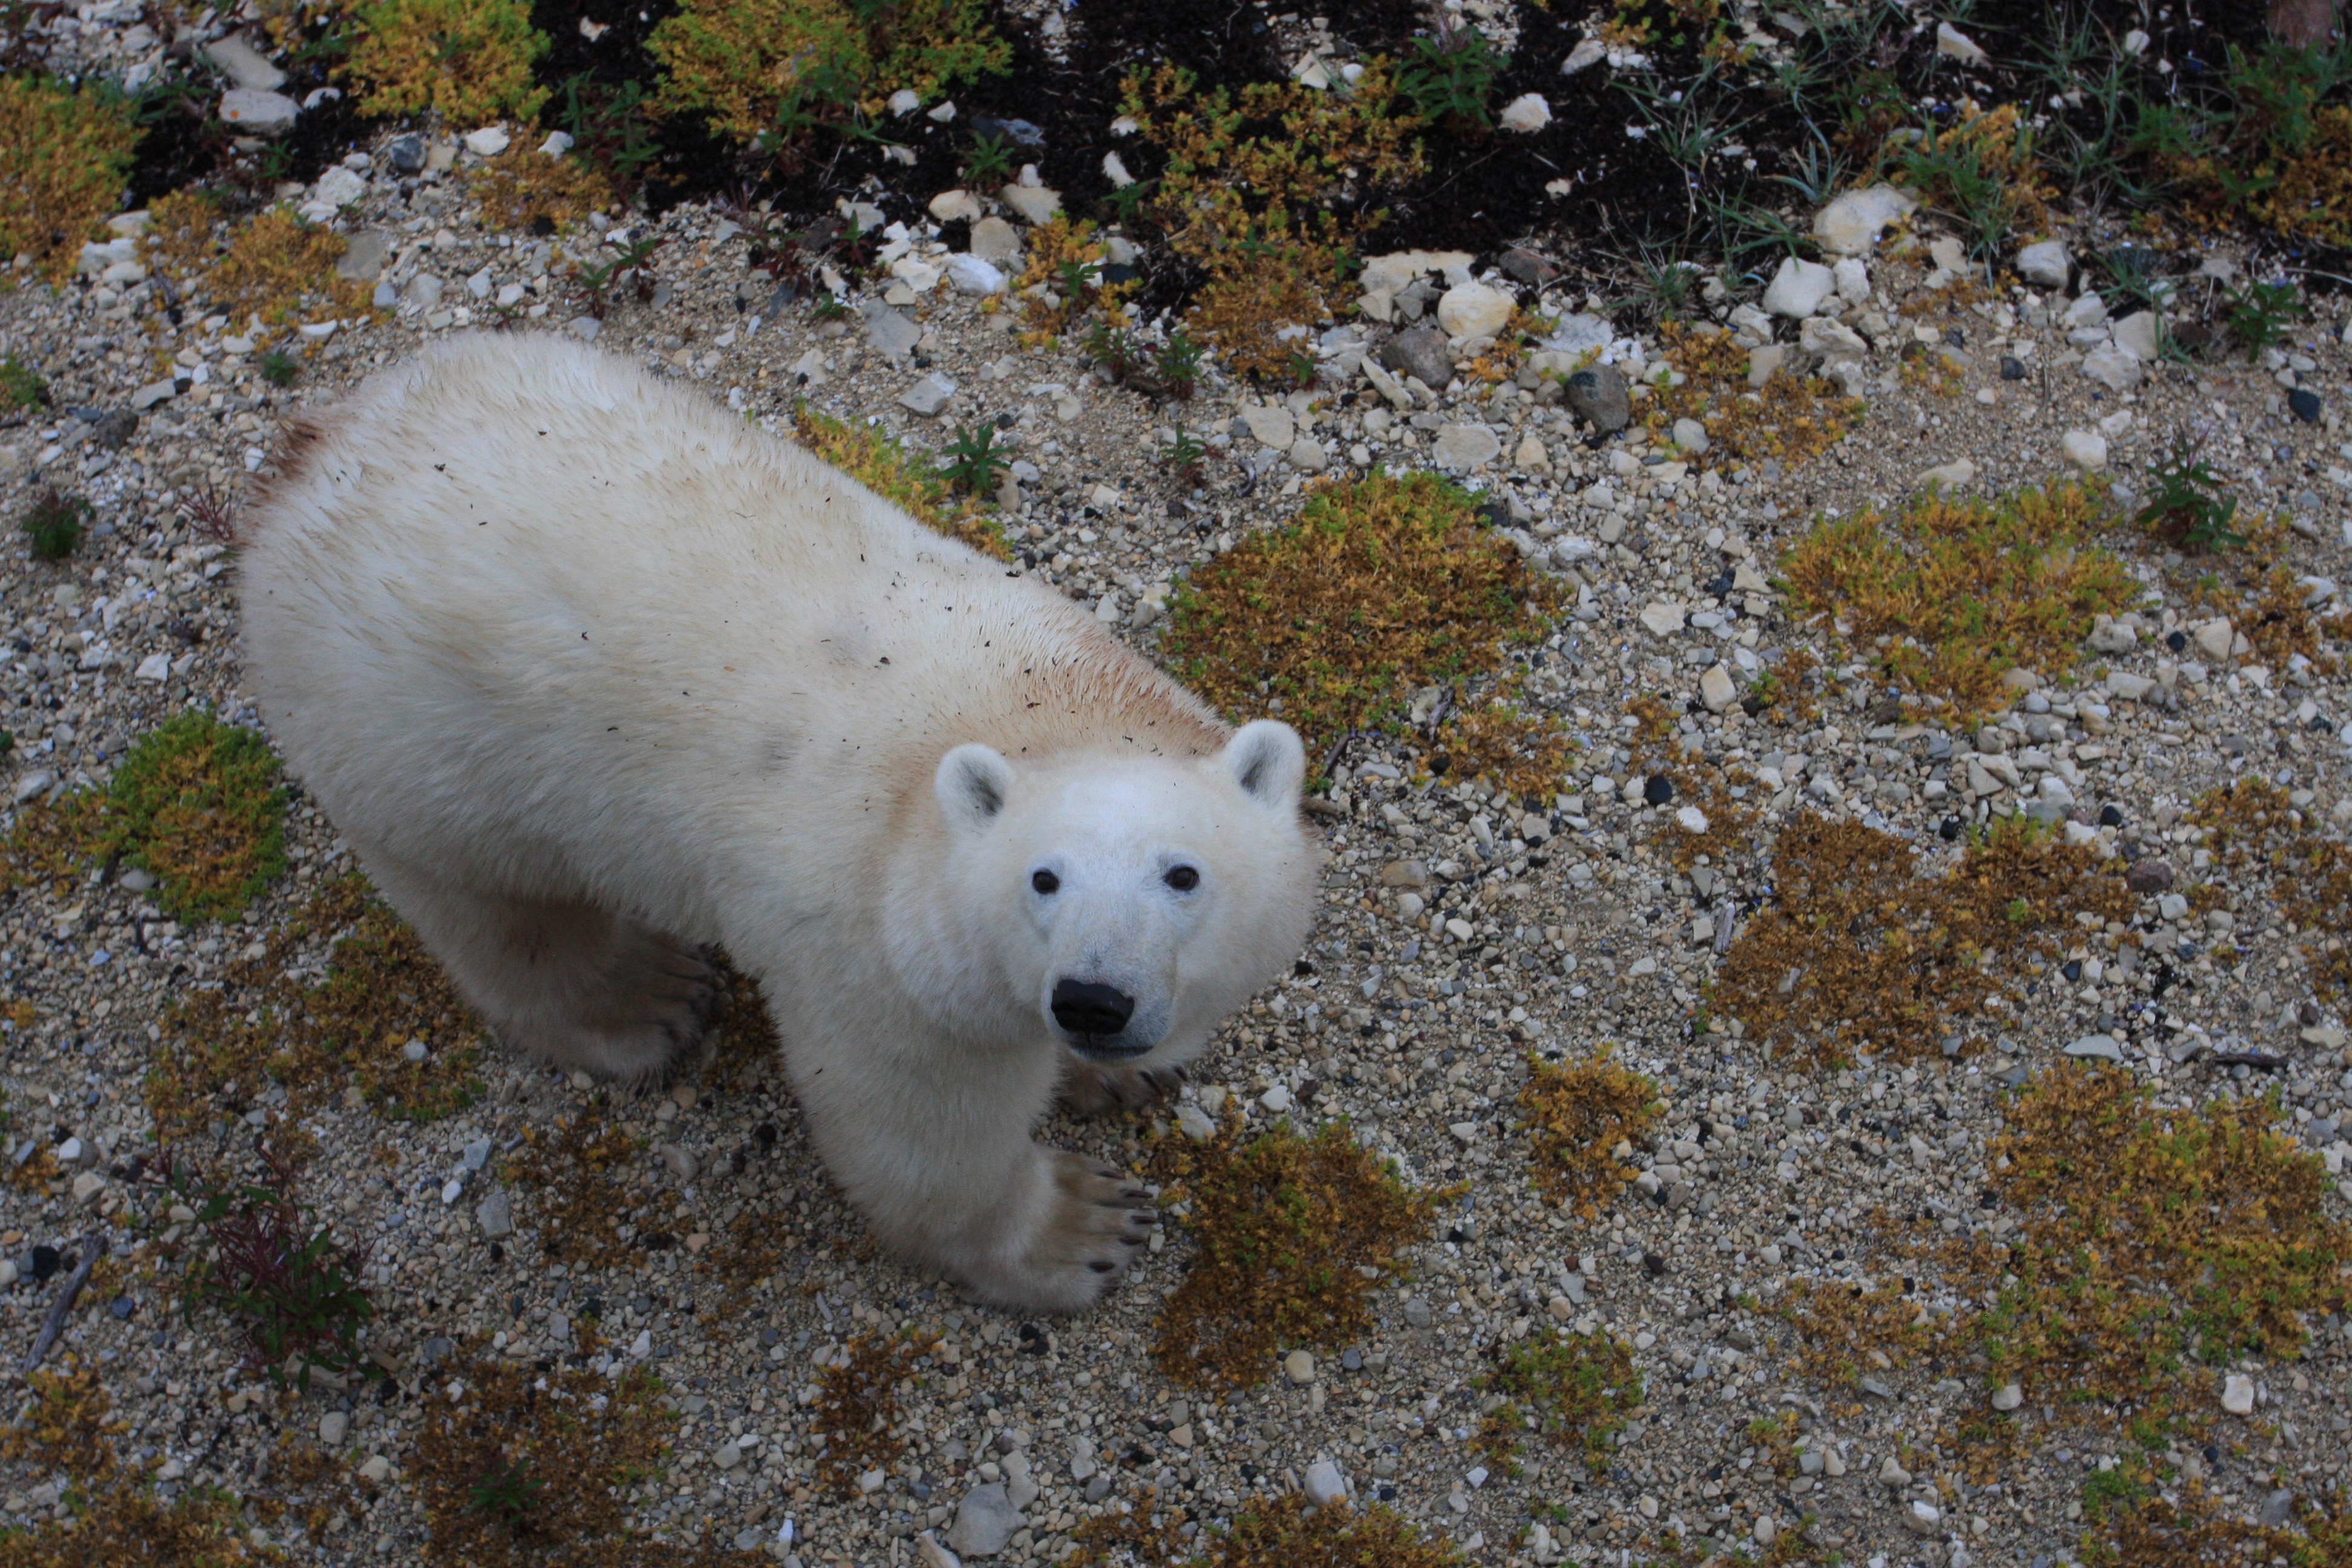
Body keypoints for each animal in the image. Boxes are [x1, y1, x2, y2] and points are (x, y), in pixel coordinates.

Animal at [248, 333, 1336, 1316]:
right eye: (1044, 879)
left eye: (1183, 875)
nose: (1093, 1001)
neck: (1032, 706)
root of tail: (309, 450)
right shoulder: (873, 952)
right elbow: (917, 1129)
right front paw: (1079, 1228)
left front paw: (1122, 1075)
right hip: (415, 745)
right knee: (502, 911)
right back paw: (648, 996)